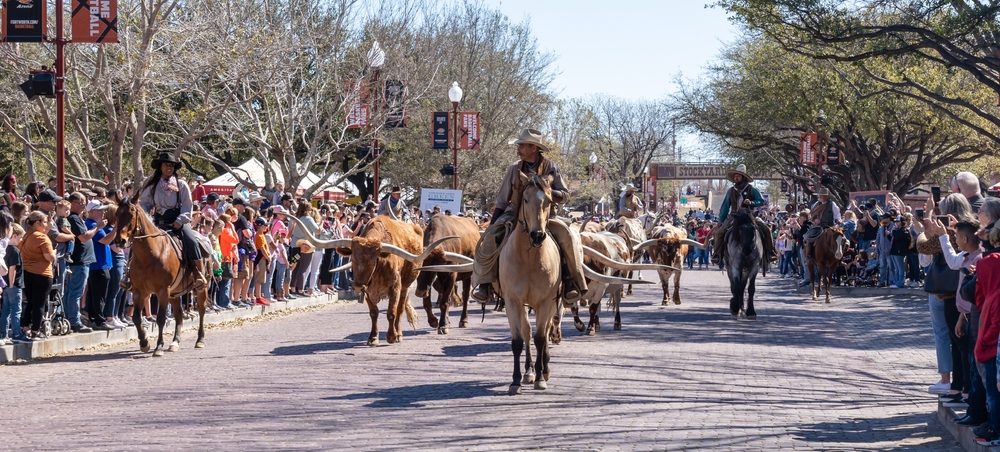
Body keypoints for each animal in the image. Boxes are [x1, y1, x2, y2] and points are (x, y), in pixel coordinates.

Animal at [115, 198, 211, 356]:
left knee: (202, 310)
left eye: (131, 215)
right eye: (116, 214)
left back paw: (200, 340)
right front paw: (144, 343)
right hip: (174, 293)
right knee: (179, 314)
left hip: (200, 288)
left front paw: (159, 346)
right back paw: (175, 342)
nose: (120, 240)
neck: (150, 255)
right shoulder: (139, 291)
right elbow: (136, 318)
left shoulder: (162, 290)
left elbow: (160, 318)